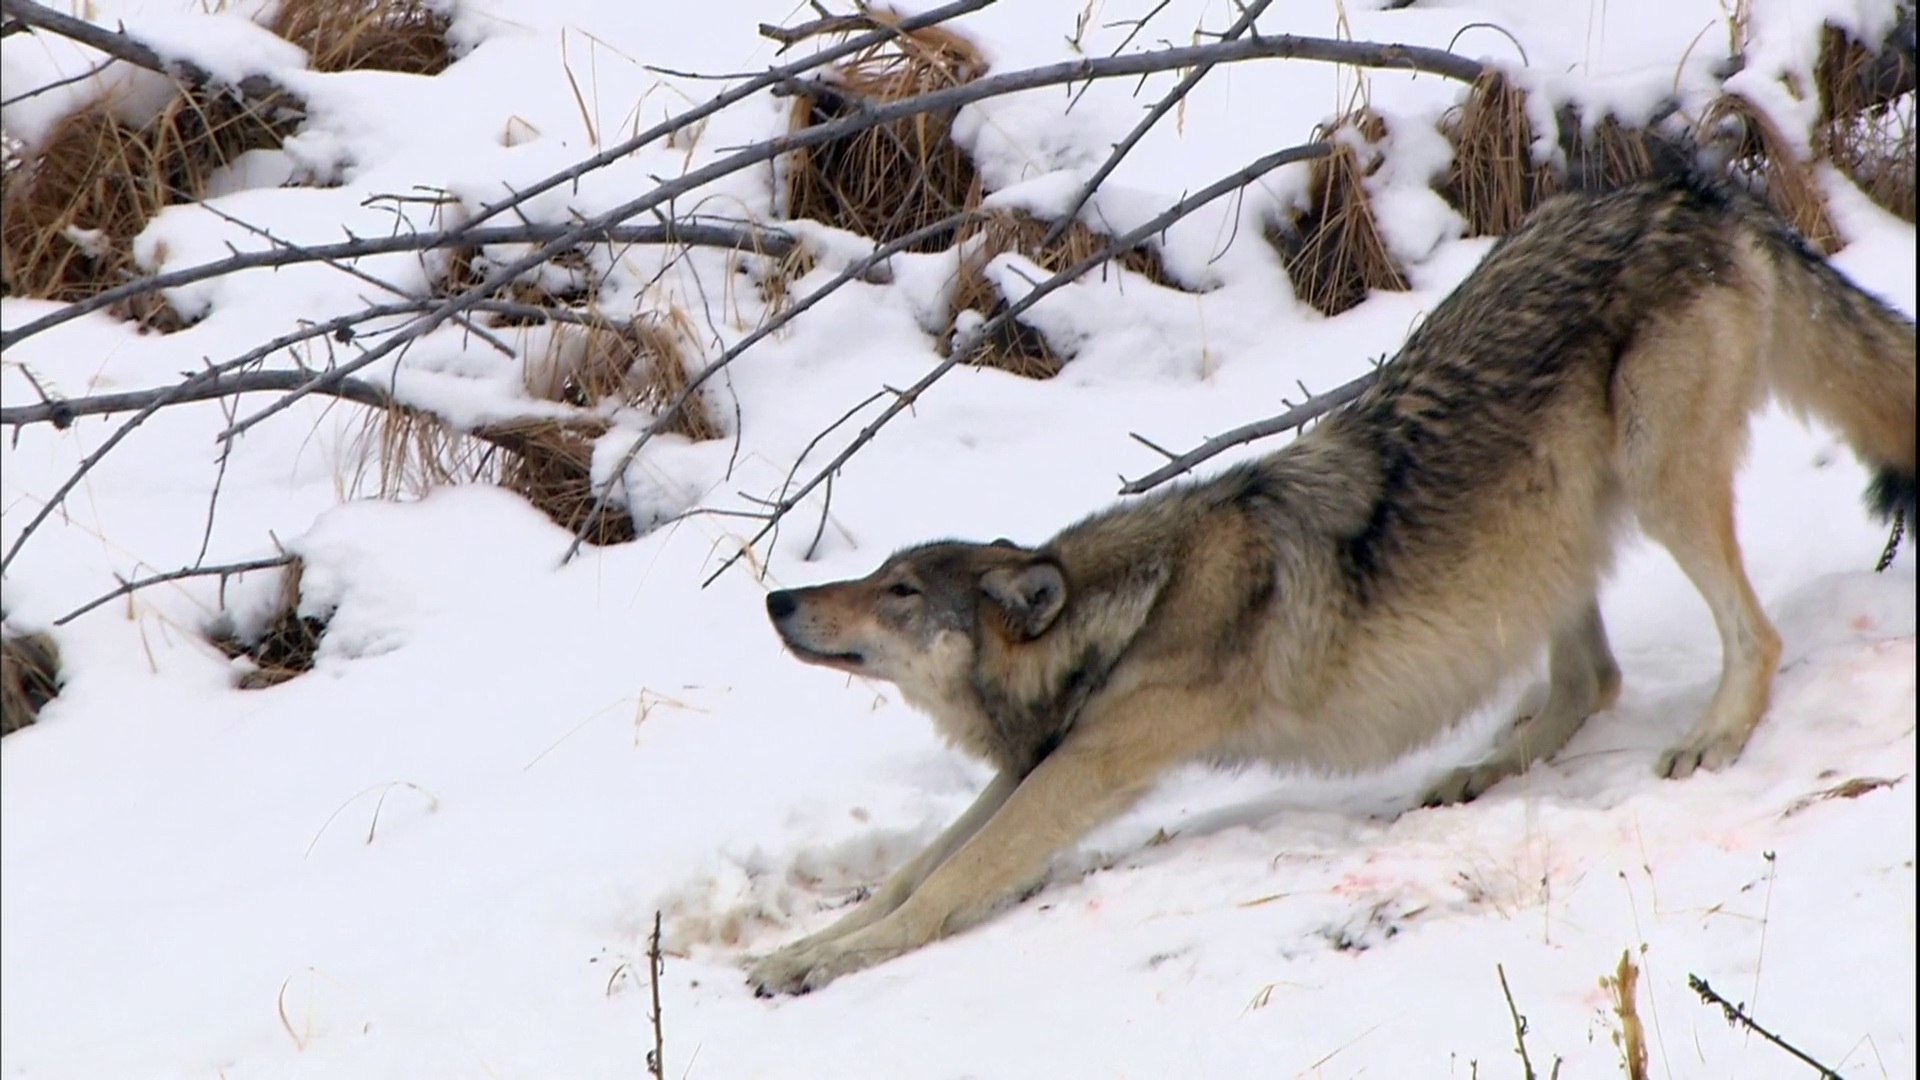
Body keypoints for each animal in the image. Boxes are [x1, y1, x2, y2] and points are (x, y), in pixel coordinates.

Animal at [741, 170, 1912, 991]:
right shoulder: (1044, 762)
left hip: (1653, 481)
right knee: (1591, 681)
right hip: (1539, 534)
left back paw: (1714, 734)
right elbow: (912, 869)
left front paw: (829, 963)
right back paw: (1481, 768)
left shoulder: (1089, 763)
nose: (776, 601)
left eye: (898, 593)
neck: (1133, 611)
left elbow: (945, 882)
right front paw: (800, 950)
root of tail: (1697, 190)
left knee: (1750, 637)